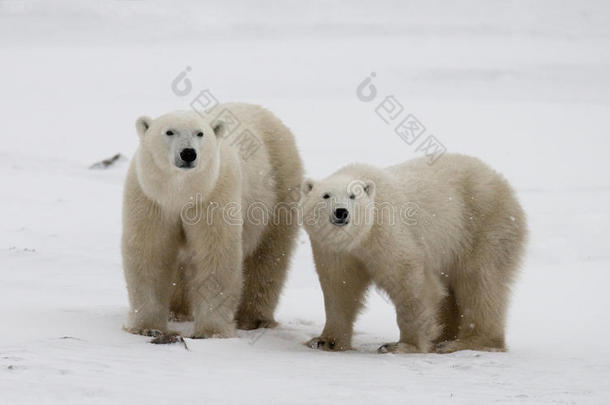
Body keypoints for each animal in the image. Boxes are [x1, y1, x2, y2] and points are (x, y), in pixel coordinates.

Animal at [121, 102, 302, 336]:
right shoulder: (150, 199)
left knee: (269, 255)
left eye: (200, 133)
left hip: (279, 188)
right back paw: (177, 311)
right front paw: (147, 327)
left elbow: (216, 254)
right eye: (169, 131)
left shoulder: (213, 196)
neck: (181, 194)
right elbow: (150, 253)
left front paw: (211, 331)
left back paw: (254, 319)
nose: (188, 153)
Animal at [302, 155, 524, 354]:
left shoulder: (387, 231)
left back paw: (464, 343)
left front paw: (401, 346)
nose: (341, 212)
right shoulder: (334, 250)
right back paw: (443, 338)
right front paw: (325, 341)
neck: (360, 238)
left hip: (483, 226)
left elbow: (410, 282)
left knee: (480, 283)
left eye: (352, 196)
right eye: (326, 195)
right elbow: (340, 288)